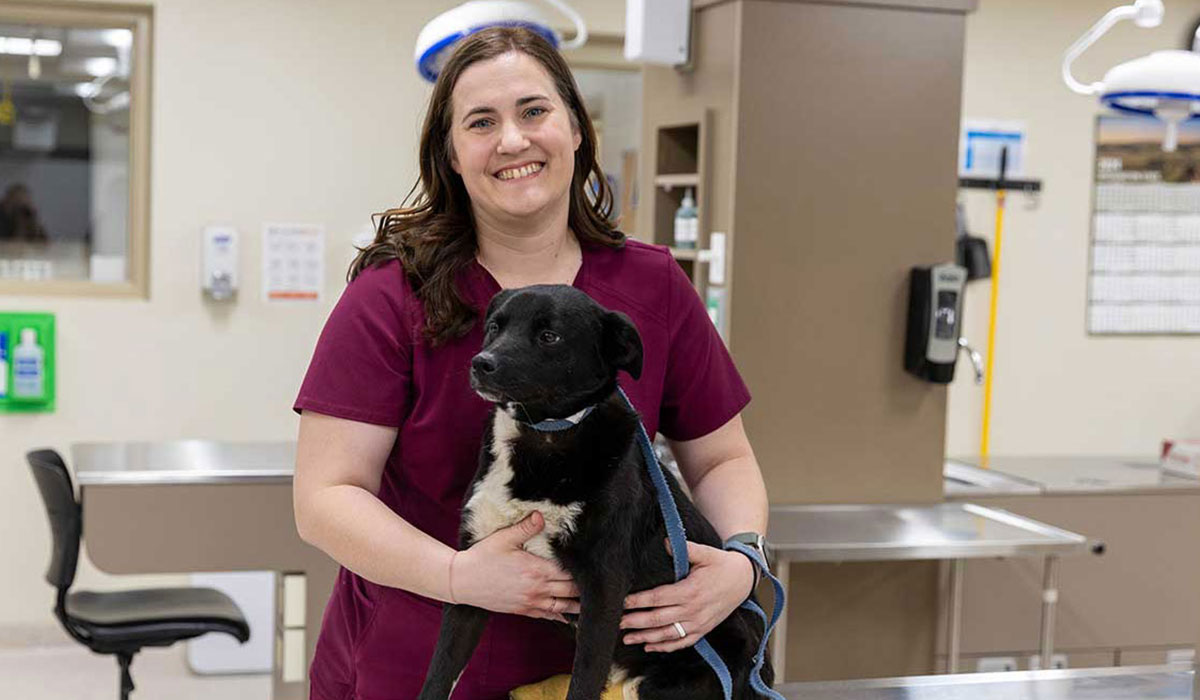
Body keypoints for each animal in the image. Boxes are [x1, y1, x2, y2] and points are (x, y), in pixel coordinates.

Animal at [417, 285, 772, 700]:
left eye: (549, 336)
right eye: (494, 327)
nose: (480, 363)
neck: (543, 438)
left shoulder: (604, 584)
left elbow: (584, 679)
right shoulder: (477, 571)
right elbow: (440, 670)